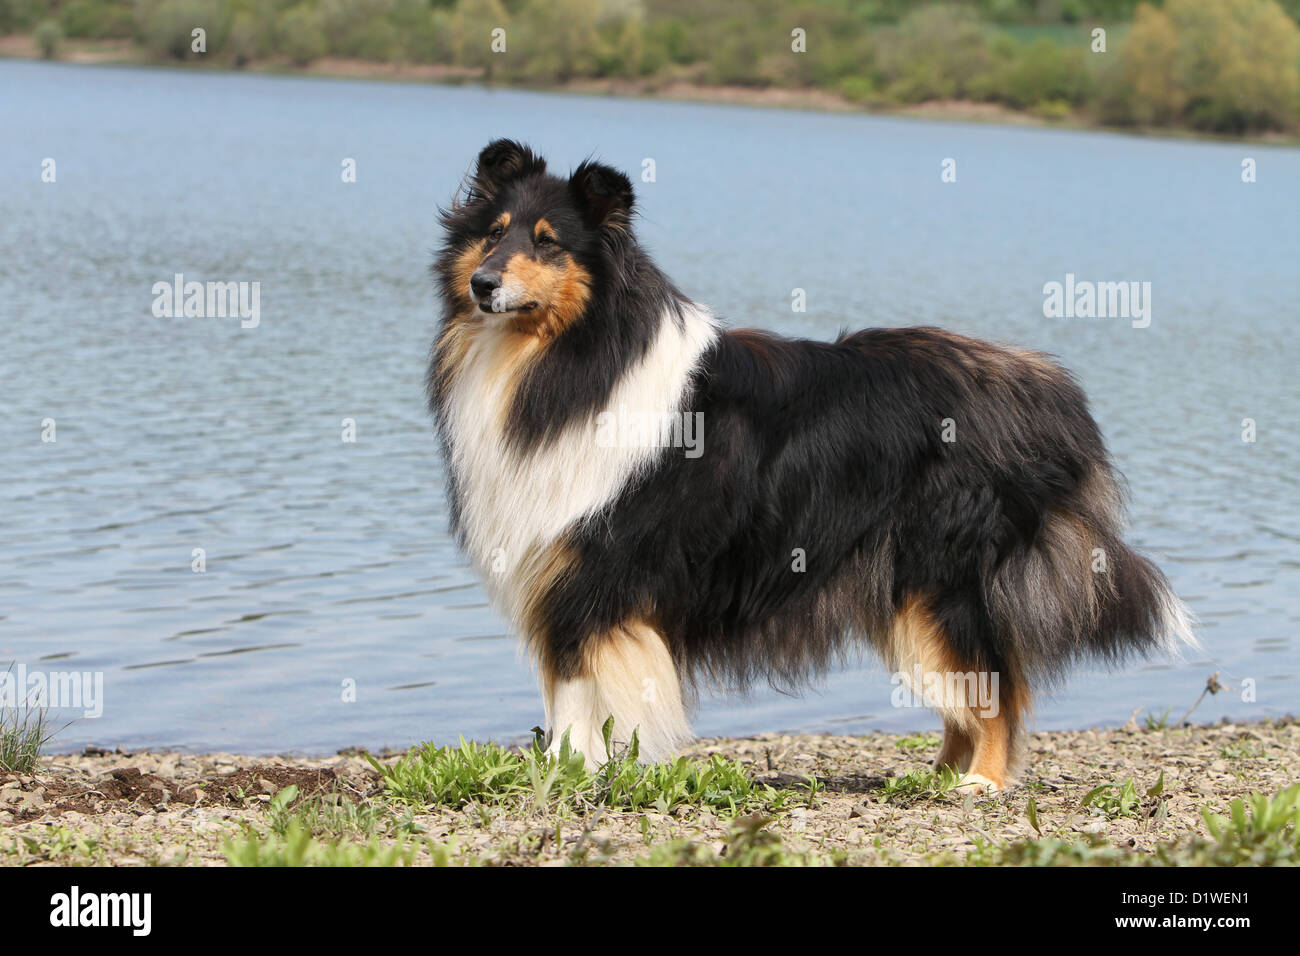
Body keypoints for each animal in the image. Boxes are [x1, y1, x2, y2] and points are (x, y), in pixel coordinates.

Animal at [423, 136, 1190, 790]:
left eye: (548, 243)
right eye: (493, 232)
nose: (484, 285)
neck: (572, 359)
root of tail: (1050, 390)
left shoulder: (598, 576)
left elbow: (579, 693)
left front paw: (572, 771)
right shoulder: (562, 574)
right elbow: (564, 692)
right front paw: (564, 770)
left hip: (943, 578)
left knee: (996, 681)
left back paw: (984, 783)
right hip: (904, 589)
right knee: (972, 690)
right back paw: (940, 776)